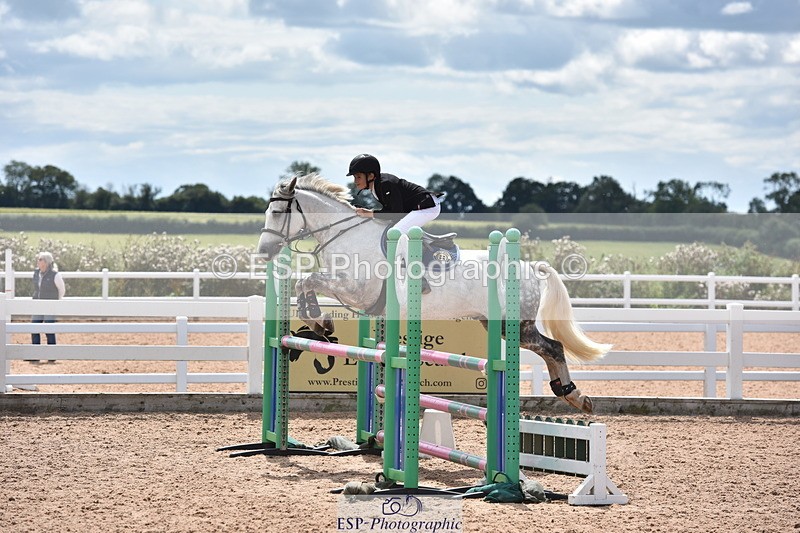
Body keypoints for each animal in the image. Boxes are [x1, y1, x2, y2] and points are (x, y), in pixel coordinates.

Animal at [257, 174, 611, 413]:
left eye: (278, 213)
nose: (264, 252)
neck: (344, 235)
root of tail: (530, 266)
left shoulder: (355, 290)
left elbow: (308, 282)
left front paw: (320, 322)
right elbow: (305, 284)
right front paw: (318, 323)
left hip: (514, 324)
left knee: (553, 347)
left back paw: (575, 396)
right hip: (497, 325)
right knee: (549, 349)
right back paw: (569, 394)